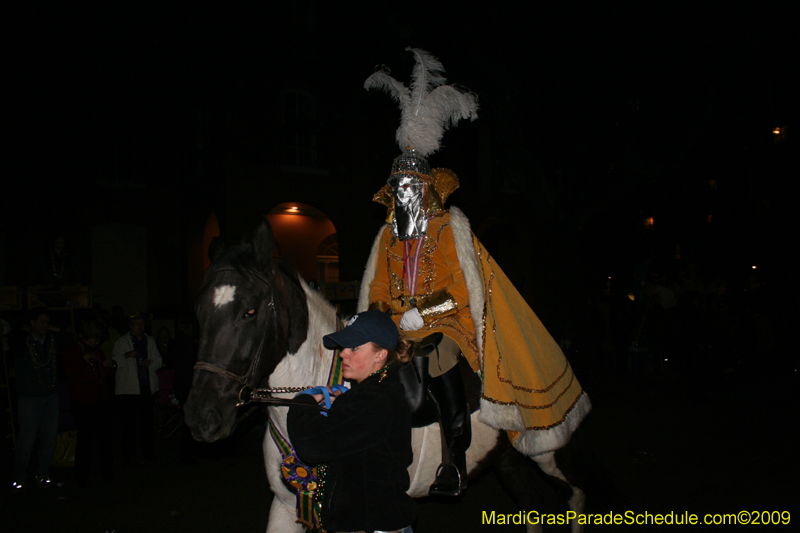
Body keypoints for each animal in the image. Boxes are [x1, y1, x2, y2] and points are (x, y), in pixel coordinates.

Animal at [184, 220, 584, 532]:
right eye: (198, 311)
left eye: (250, 311)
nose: (202, 417)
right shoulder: (285, 507)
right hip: (507, 458)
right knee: (531, 503)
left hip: (548, 449)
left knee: (574, 498)